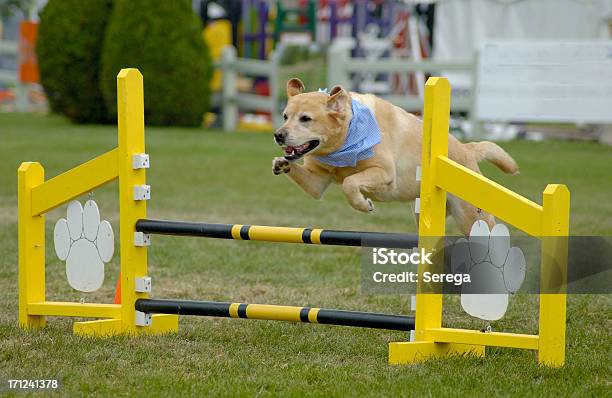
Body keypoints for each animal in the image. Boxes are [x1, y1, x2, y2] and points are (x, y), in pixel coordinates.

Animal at [272, 77, 516, 233]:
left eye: (305, 119)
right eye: (285, 116)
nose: (278, 135)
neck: (345, 140)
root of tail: (466, 149)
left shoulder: (384, 172)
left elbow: (349, 183)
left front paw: (364, 204)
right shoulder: (317, 183)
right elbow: (314, 181)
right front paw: (280, 163)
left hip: (472, 218)